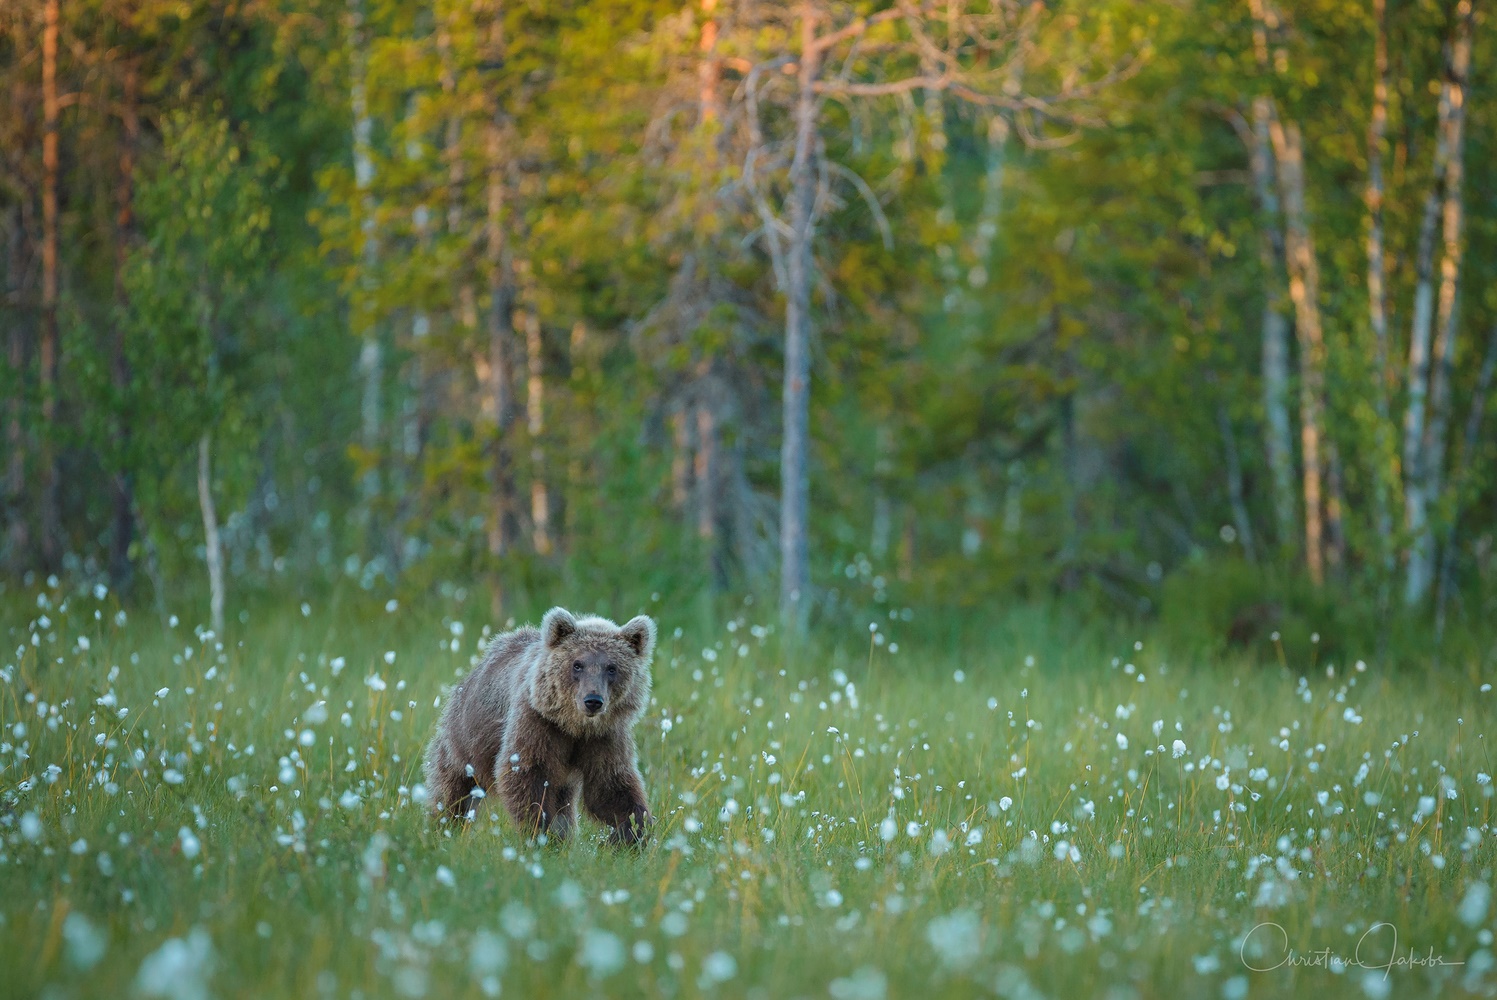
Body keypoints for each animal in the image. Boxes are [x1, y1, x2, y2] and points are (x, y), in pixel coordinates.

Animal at [422, 610, 655, 844]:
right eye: (577, 664)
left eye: (612, 668)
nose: (593, 700)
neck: (574, 727)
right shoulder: (537, 724)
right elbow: (525, 774)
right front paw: (539, 831)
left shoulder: (603, 737)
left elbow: (610, 785)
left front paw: (633, 832)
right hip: (466, 736)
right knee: (454, 787)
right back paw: (443, 825)